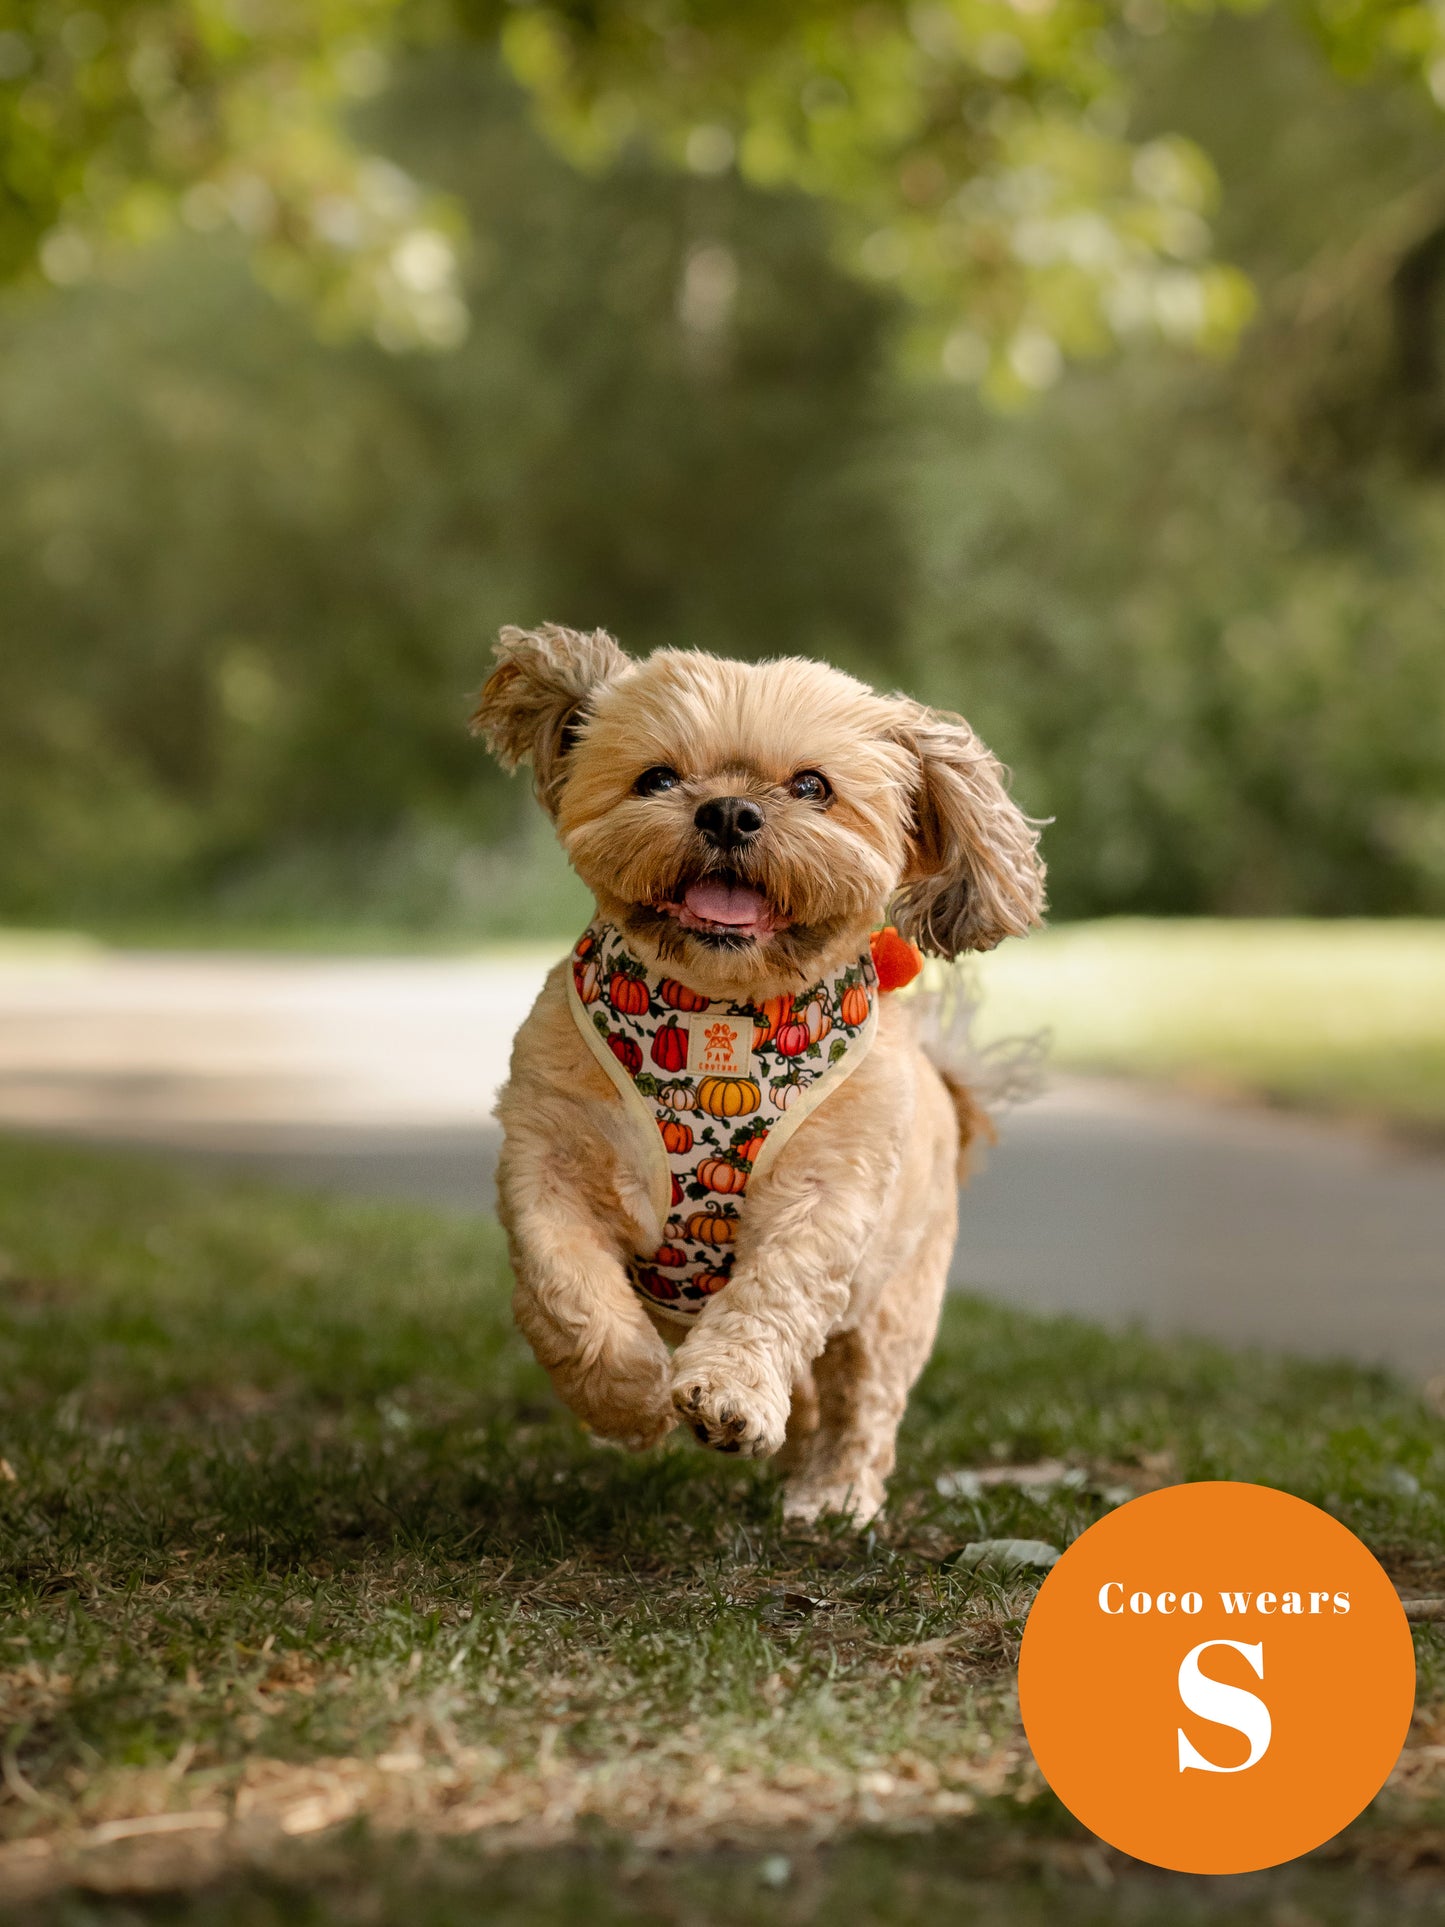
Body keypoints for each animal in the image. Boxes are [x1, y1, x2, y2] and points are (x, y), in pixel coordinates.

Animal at [481, 628, 1048, 1518]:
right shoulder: (550, 1159)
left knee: (860, 1402)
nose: (727, 810)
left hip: (894, 1301)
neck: (719, 1011)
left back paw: (833, 1492)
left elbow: (771, 1293)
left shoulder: (824, 1196)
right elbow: (567, 1286)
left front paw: (728, 1396)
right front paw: (629, 1397)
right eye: (657, 777)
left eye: (812, 786)